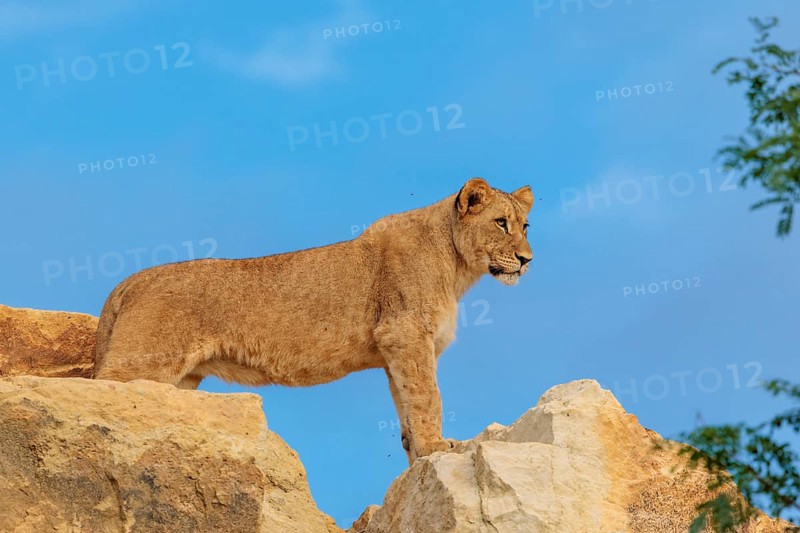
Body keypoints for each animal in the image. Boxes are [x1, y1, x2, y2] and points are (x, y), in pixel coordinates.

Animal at [94, 177, 533, 464]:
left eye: (525, 225)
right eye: (500, 222)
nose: (527, 259)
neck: (458, 267)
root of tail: (129, 282)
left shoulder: (395, 351)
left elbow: (406, 409)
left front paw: (417, 461)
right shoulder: (406, 334)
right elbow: (428, 397)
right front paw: (439, 448)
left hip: (181, 380)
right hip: (143, 365)